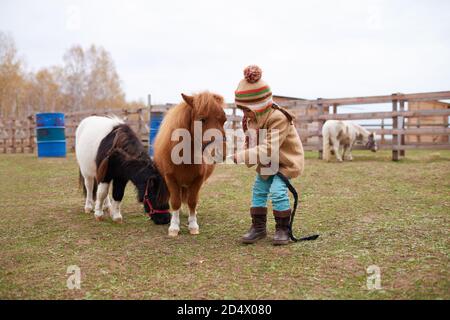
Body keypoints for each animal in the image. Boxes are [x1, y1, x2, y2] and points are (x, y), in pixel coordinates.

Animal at [153, 91, 227, 236]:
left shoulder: (198, 180)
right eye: (202, 119)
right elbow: (175, 202)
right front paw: (174, 227)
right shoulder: (170, 179)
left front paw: (193, 225)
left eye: (224, 120)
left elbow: (192, 201)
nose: (220, 152)